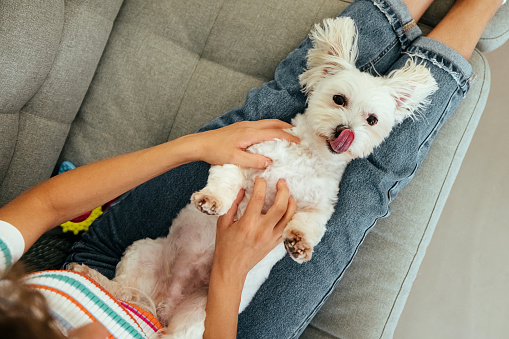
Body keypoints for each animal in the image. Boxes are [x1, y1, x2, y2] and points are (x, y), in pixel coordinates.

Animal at [70, 16, 436, 339]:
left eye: (372, 120)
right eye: (339, 99)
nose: (346, 132)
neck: (307, 157)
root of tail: (164, 306)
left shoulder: (320, 206)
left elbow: (311, 224)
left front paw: (299, 243)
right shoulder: (245, 157)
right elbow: (226, 181)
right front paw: (212, 201)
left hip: (197, 316)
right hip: (143, 252)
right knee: (123, 291)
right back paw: (88, 273)